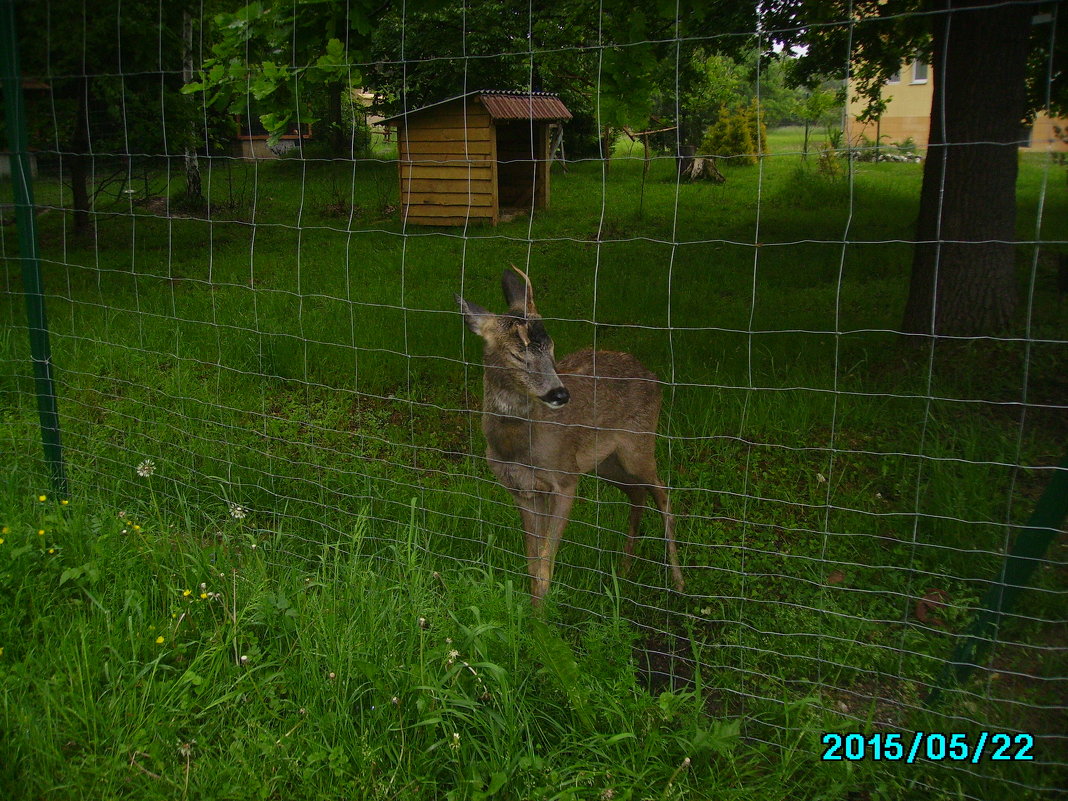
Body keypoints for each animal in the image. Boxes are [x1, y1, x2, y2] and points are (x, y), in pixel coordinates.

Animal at [457, 267, 683, 606]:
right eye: (516, 354)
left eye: (551, 346)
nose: (560, 393)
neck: (518, 448)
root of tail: (654, 376)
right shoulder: (522, 490)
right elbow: (532, 562)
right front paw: (534, 612)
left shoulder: (565, 478)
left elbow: (545, 563)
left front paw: (542, 615)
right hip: (606, 463)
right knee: (638, 493)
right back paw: (624, 571)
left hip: (639, 443)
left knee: (662, 492)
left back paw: (678, 583)